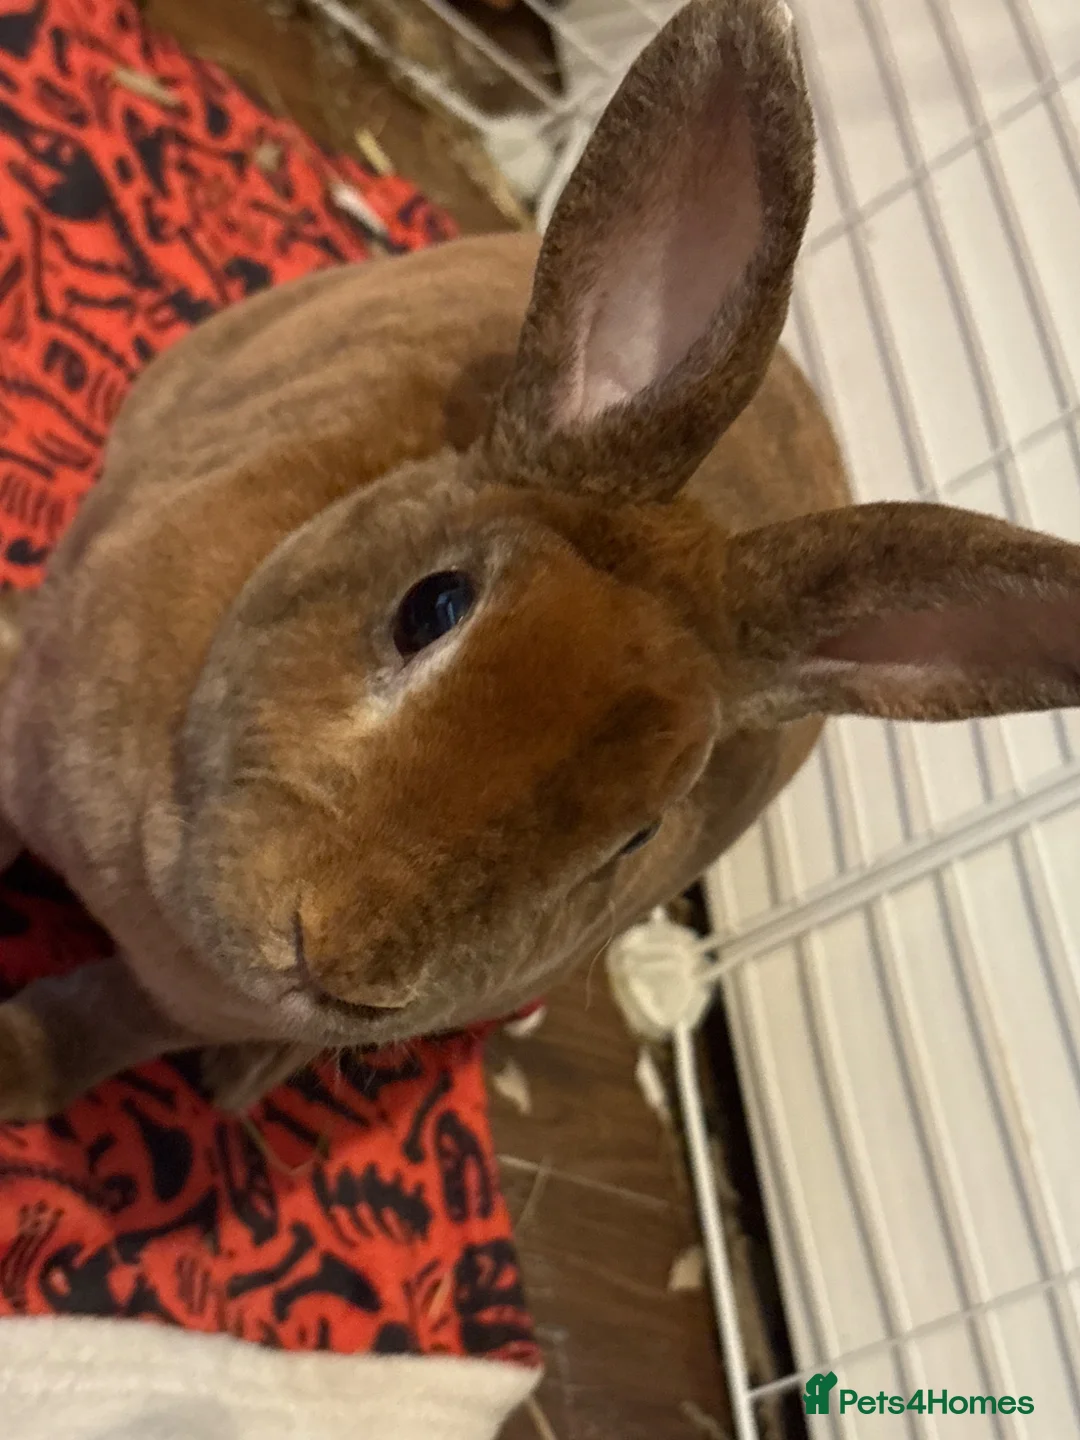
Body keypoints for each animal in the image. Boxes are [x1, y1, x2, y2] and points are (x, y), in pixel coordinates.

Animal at [1, 0, 1080, 1120]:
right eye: (430, 607)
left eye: (639, 839)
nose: (337, 959)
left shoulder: (170, 1003)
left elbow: (98, 1026)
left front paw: (13, 1069)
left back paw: (239, 1081)